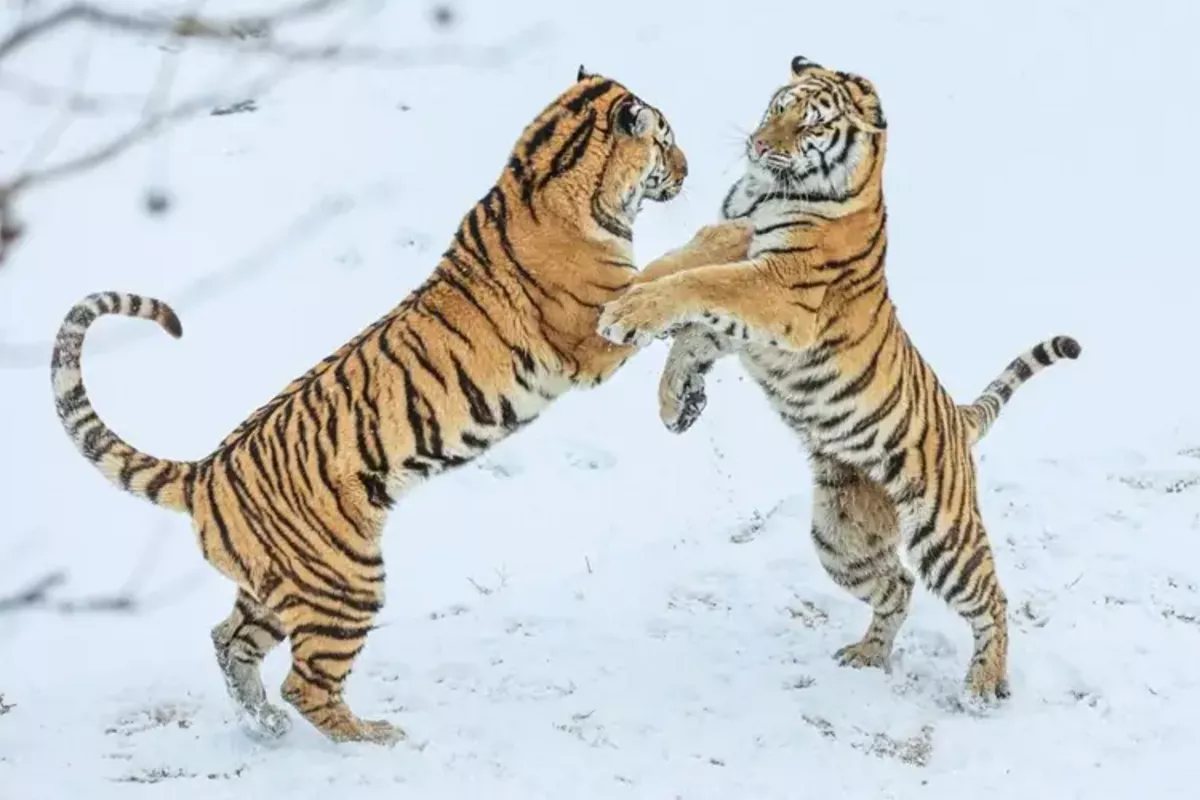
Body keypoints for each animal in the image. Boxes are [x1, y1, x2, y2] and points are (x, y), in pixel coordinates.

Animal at [48, 67, 702, 745]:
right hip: (346, 583)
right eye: (666, 140)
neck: (547, 172)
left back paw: (264, 724)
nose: (689, 168)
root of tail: (204, 472)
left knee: (229, 641)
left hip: (273, 590)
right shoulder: (595, 338)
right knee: (305, 683)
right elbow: (672, 280)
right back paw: (373, 738)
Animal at [595, 55, 1081, 703]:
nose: (757, 144)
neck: (765, 193)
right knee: (897, 586)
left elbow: (697, 286)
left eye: (811, 125)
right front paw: (676, 397)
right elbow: (682, 289)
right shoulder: (732, 258)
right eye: (778, 107)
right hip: (841, 536)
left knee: (990, 598)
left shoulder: (777, 290)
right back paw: (867, 655)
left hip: (944, 534)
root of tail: (959, 415)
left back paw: (982, 685)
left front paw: (628, 315)